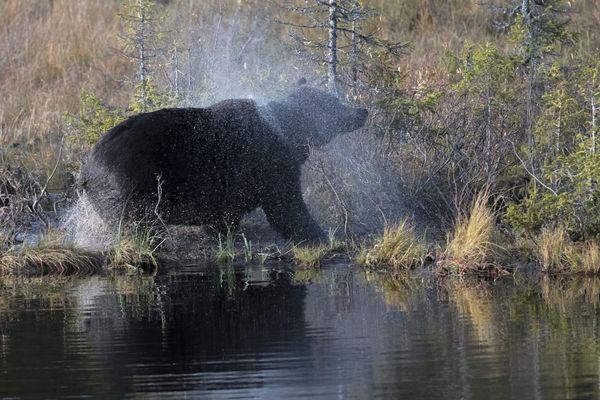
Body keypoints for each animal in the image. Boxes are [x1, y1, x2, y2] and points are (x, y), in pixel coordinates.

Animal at [77, 82, 368, 241]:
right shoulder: (269, 163)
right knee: (137, 226)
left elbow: (223, 219)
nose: (363, 110)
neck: (287, 132)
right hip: (131, 187)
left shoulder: (227, 192)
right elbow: (286, 207)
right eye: (335, 102)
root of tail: (86, 170)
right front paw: (321, 234)